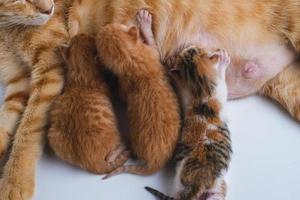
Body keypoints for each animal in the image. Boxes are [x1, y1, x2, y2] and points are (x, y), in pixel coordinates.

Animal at [96, 22, 180, 177]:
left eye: (111, 27)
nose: (104, 26)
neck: (131, 57)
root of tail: (156, 163)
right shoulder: (153, 54)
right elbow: (152, 42)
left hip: (136, 140)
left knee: (129, 146)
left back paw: (111, 155)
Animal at [145, 47, 232, 200]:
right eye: (197, 49)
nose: (189, 47)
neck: (199, 93)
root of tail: (198, 183)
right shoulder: (218, 93)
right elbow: (222, 81)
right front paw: (223, 60)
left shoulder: (186, 100)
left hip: (198, 189)